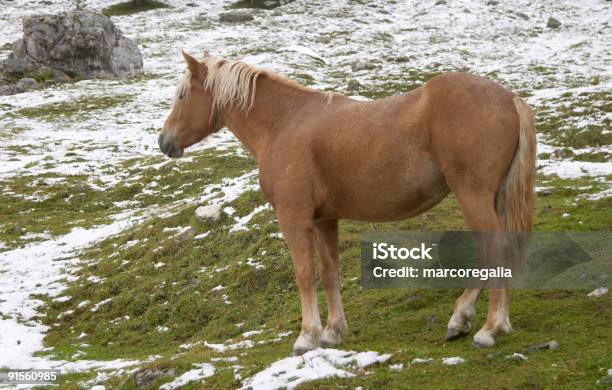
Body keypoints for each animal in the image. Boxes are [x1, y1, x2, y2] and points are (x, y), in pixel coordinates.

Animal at [159, 51, 536, 354]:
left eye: (183, 94)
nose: (164, 141)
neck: (284, 123)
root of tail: (509, 98)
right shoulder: (324, 220)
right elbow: (330, 272)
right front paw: (332, 332)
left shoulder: (294, 217)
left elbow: (304, 272)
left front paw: (307, 336)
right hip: (493, 200)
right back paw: (479, 320)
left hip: (473, 197)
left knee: (494, 252)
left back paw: (485, 327)